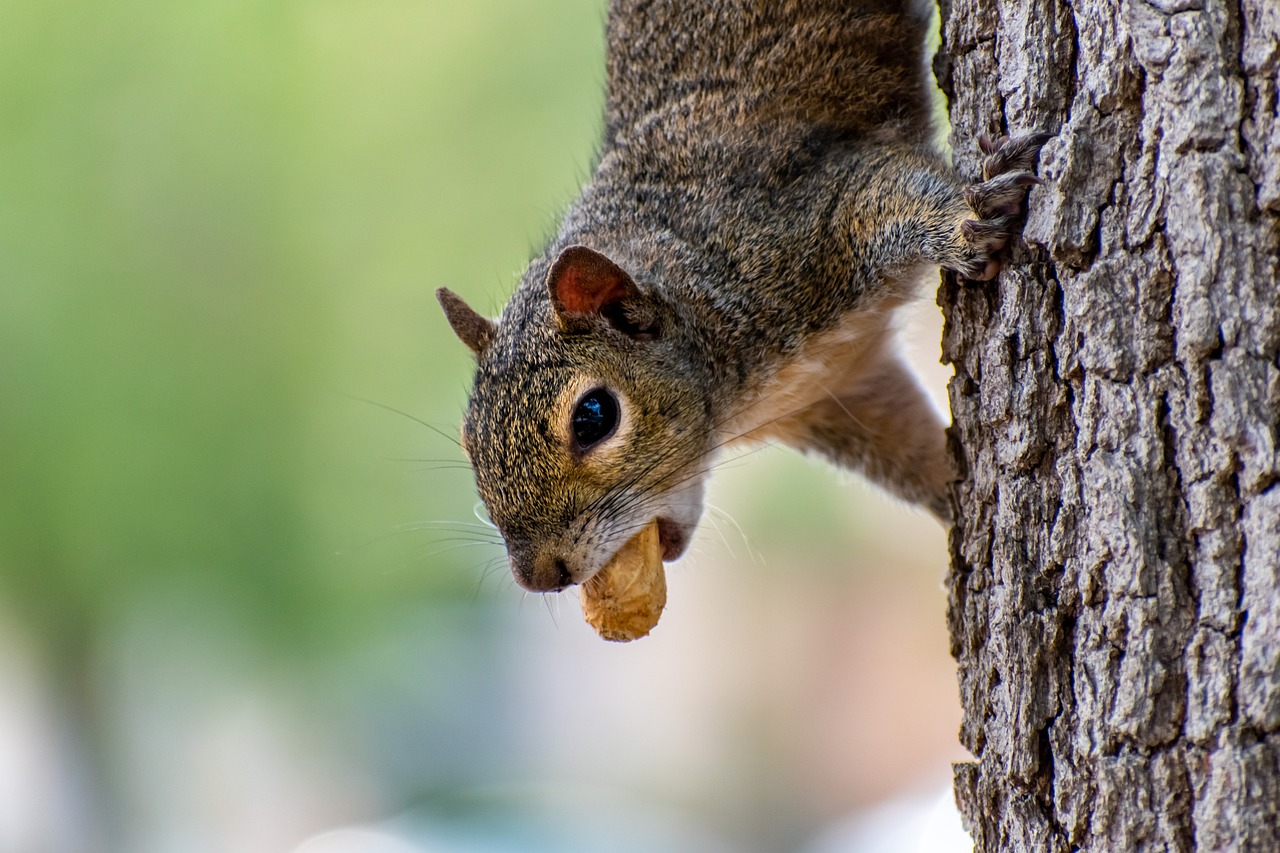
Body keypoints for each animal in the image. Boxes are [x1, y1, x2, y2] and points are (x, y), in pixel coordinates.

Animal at [435, 0, 1044, 594]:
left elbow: (894, 190)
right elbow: (912, 452)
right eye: (467, 441)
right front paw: (957, 500)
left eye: (594, 416)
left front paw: (968, 220)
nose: (540, 579)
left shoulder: (801, 218)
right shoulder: (841, 394)